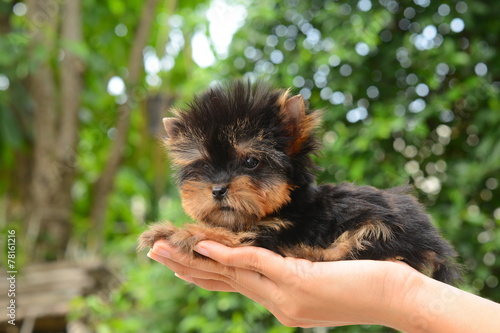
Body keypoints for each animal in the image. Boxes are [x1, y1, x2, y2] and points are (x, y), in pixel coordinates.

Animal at [139, 80, 462, 282]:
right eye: (204, 166)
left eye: (251, 162)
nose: (217, 189)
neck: (286, 205)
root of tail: (434, 240)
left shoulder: (277, 230)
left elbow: (236, 235)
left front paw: (180, 231)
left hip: (384, 226)